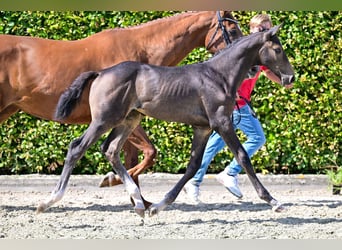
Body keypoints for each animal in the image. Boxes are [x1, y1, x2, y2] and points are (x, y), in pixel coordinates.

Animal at [0, 10, 242, 205]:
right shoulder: (121, 117)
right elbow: (148, 152)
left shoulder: (129, 118)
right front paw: (115, 182)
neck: (140, 53)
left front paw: (139, 200)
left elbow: (132, 156)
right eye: (232, 28)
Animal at [36, 24, 294, 218]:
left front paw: (158, 207)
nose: (290, 77)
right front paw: (274, 201)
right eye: (278, 49)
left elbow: (193, 166)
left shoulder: (202, 128)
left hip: (129, 119)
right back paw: (49, 201)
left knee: (110, 149)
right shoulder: (222, 123)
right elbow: (243, 156)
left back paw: (140, 203)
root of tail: (101, 73)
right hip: (104, 119)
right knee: (77, 147)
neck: (218, 76)